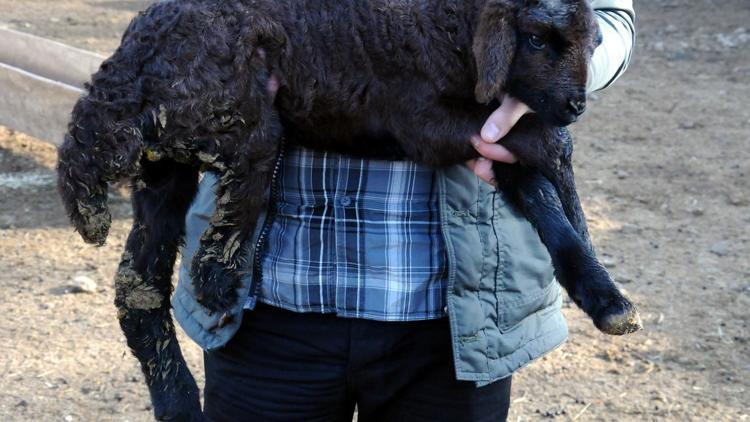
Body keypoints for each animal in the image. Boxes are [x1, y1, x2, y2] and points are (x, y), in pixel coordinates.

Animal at [58, 0, 644, 418]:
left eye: (593, 42)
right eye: (537, 39)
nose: (576, 104)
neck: (451, 25)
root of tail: (120, 79)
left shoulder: (486, 135)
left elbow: (542, 195)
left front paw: (604, 294)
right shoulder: (423, 119)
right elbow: (547, 144)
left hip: (165, 169)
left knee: (137, 286)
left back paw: (178, 403)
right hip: (240, 122)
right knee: (208, 264)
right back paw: (217, 304)